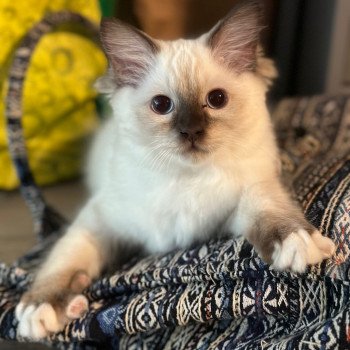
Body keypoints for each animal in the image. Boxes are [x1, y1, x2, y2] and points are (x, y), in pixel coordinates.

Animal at [16, 0, 336, 340]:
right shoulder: (100, 221)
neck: (184, 179)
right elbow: (64, 259)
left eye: (217, 99)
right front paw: (40, 308)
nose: (191, 131)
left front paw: (296, 244)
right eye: (161, 105)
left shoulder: (245, 197)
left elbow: (269, 212)